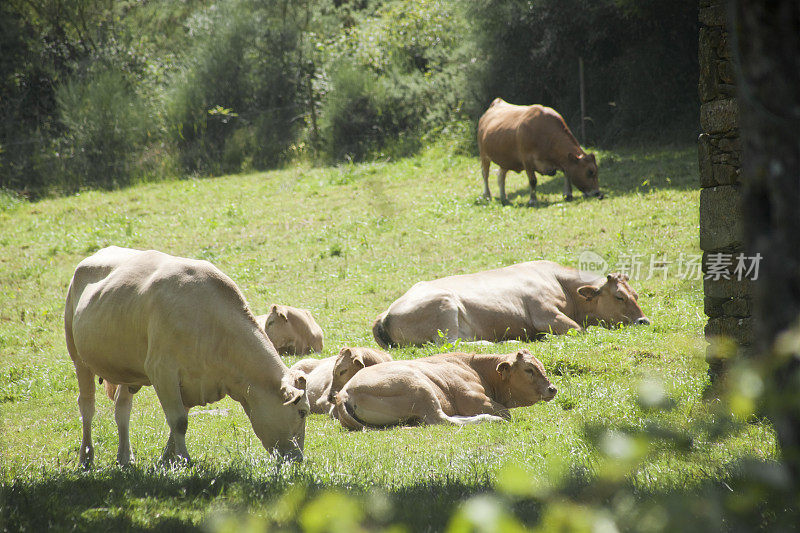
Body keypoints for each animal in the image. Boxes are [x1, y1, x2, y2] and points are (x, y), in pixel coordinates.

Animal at [65, 245, 310, 466]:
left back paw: (125, 457)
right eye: (303, 412)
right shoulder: (162, 370)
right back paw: (86, 457)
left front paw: (167, 459)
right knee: (87, 405)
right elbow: (179, 421)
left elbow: (180, 419)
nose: (298, 458)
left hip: (126, 368)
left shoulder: (194, 382)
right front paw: (184, 460)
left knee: (122, 408)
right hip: (78, 357)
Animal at [332, 350, 556, 428]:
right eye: (529, 369)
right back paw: (488, 419)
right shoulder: (473, 399)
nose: (552, 388)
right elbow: (506, 413)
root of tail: (345, 391)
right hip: (420, 388)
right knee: (440, 419)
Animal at [372, 260, 648, 348]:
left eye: (636, 294)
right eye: (619, 297)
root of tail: (386, 312)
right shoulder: (545, 314)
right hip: (445, 307)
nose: (643, 321)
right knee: (450, 344)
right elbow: (578, 330)